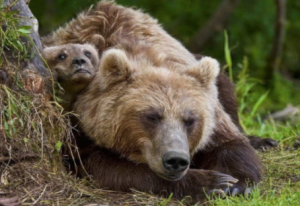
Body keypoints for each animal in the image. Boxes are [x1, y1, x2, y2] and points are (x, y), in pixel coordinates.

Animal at [41, 0, 276, 203]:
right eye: (152, 116)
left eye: (190, 120)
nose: (176, 160)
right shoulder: (81, 128)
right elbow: (107, 167)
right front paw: (210, 182)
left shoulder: (213, 116)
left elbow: (230, 144)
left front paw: (236, 184)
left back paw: (264, 141)